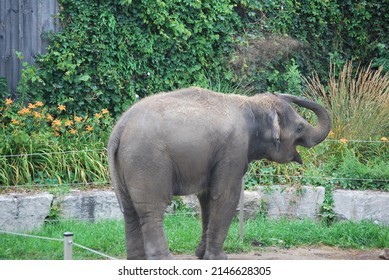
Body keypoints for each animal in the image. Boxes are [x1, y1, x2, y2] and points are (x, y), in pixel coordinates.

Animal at [107, 86, 330, 260]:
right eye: (300, 127)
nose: (284, 92)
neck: (250, 104)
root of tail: (119, 129)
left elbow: (207, 199)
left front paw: (201, 255)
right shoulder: (233, 148)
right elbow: (225, 196)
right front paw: (219, 258)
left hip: (125, 165)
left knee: (130, 210)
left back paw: (137, 259)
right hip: (147, 162)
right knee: (152, 208)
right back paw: (164, 259)